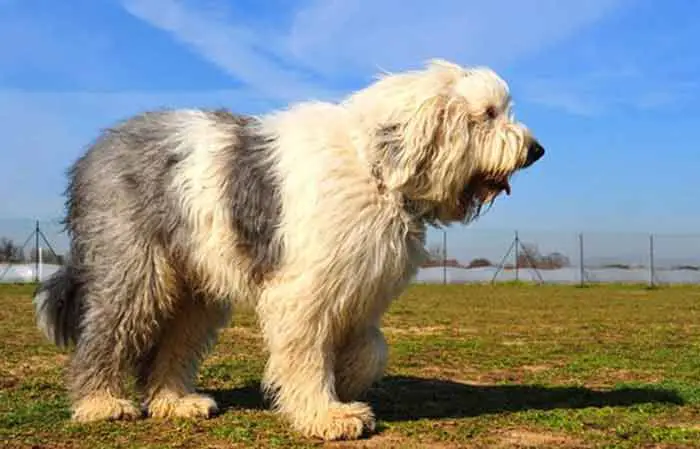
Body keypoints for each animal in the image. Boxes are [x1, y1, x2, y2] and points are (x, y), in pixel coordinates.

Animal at [32, 57, 544, 440]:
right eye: (488, 113)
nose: (536, 151)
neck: (375, 167)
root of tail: (94, 152)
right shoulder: (304, 292)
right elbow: (306, 353)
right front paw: (327, 414)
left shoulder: (361, 286)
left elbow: (372, 348)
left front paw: (348, 379)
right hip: (136, 268)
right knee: (106, 332)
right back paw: (100, 402)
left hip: (196, 288)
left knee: (175, 342)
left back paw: (176, 402)